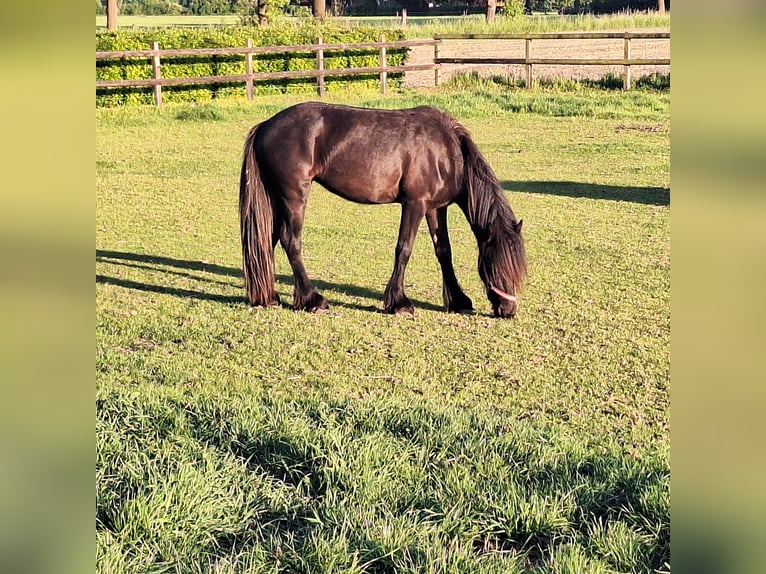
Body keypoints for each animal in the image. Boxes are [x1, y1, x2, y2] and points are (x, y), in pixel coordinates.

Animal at [239, 102, 527, 318]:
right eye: (497, 264)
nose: (509, 309)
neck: (447, 151)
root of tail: (265, 125)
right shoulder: (415, 204)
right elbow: (404, 249)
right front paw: (399, 303)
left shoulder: (436, 208)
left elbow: (444, 252)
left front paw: (458, 300)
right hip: (294, 197)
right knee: (291, 241)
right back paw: (313, 300)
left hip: (277, 199)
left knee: (267, 241)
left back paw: (269, 297)